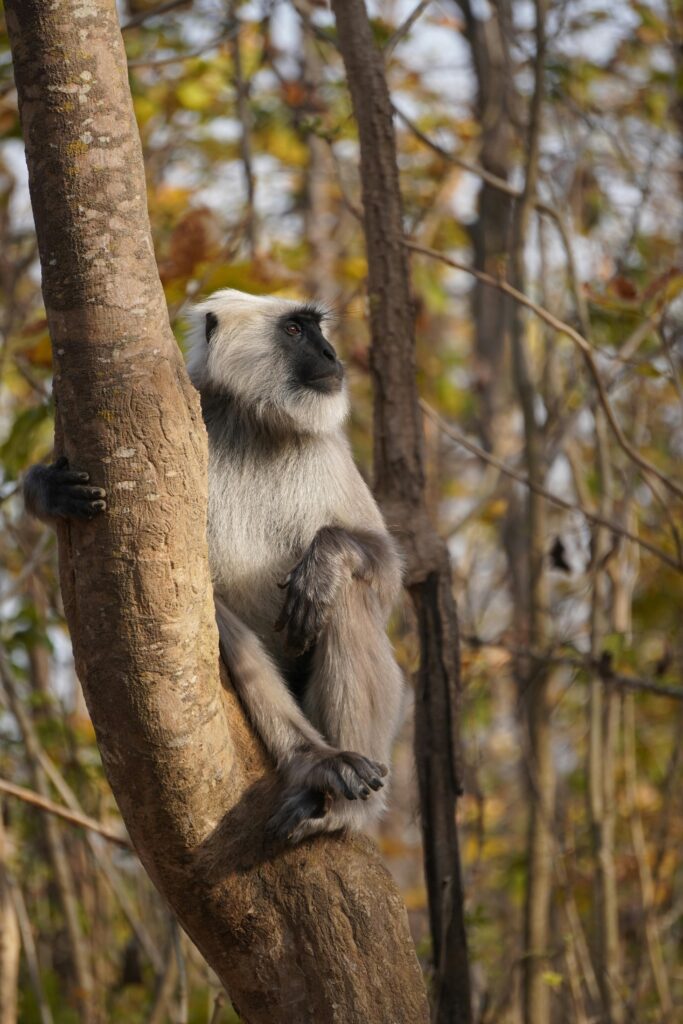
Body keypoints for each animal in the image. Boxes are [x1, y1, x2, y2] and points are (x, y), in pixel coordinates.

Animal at [23, 289, 405, 843]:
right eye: (295, 331)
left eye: (315, 329)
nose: (331, 355)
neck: (254, 424)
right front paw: (47, 490)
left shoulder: (326, 444)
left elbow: (385, 570)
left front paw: (325, 561)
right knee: (212, 607)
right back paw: (313, 760)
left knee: (346, 595)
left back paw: (343, 808)